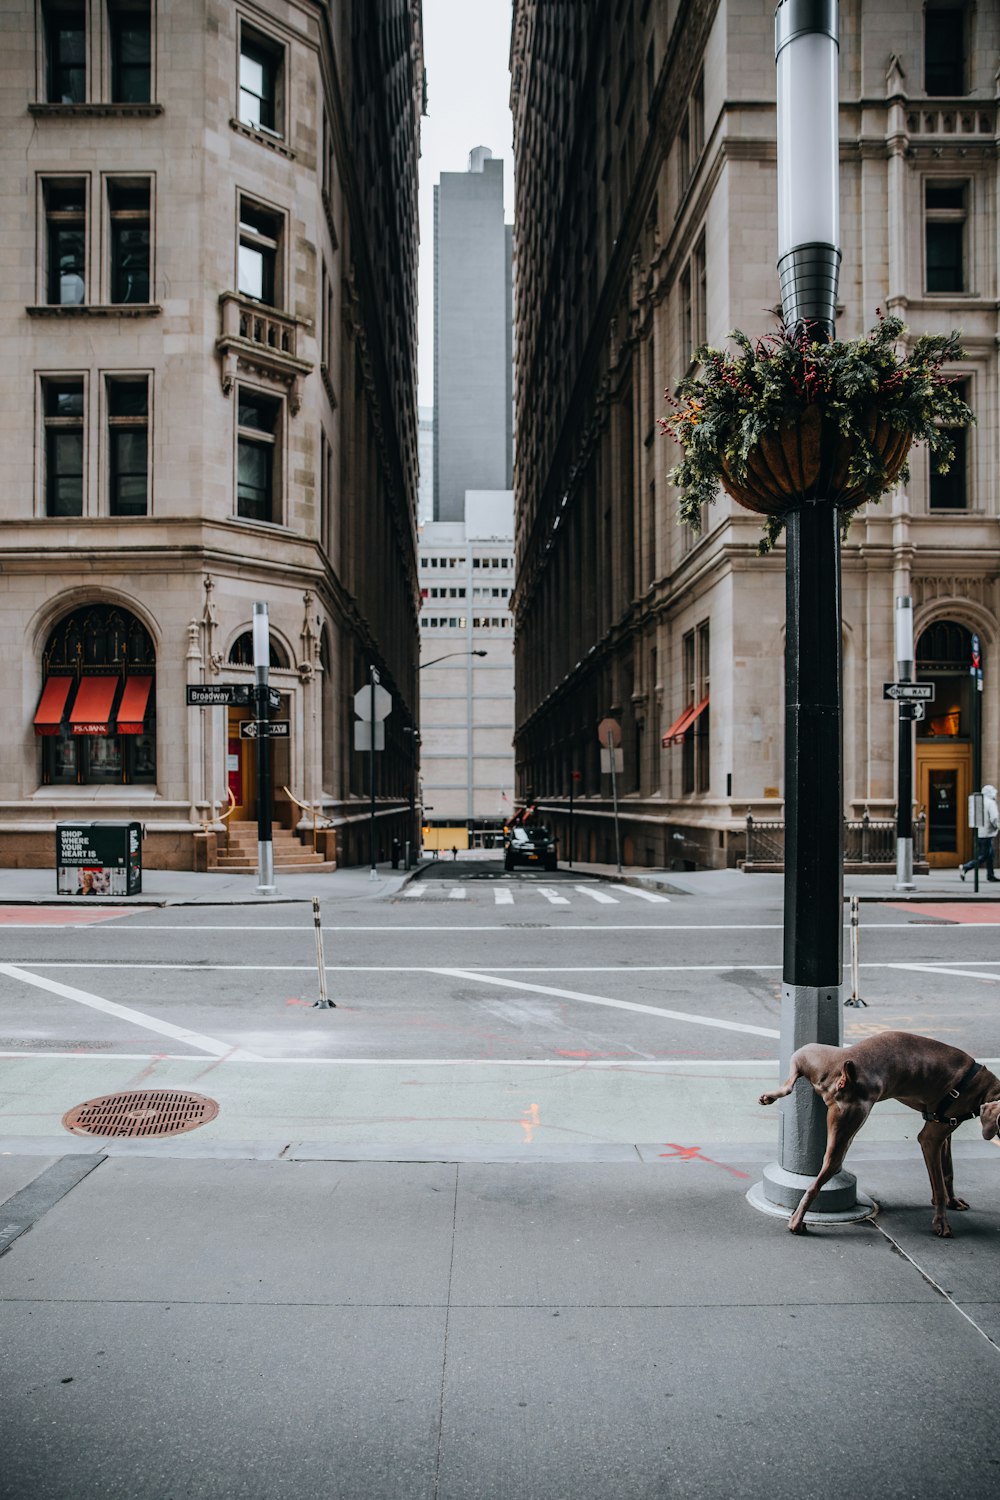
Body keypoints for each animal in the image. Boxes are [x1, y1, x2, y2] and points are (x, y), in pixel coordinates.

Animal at [761, 1032, 995, 1230]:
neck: (983, 1087)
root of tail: (846, 1076)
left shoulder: (944, 1134)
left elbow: (947, 1172)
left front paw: (952, 1200)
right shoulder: (929, 1138)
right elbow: (938, 1183)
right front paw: (941, 1222)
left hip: (809, 1053)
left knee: (790, 1082)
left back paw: (770, 1096)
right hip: (847, 1125)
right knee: (815, 1183)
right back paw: (797, 1221)